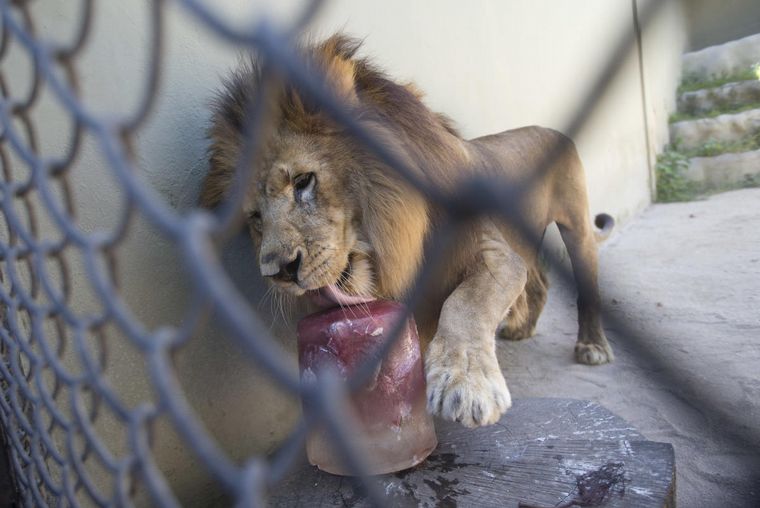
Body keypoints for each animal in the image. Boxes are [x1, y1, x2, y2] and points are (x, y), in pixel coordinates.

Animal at [199, 33, 616, 426]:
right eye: (255, 218)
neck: (401, 236)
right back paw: (521, 327)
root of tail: (547, 128)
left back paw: (592, 346)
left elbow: (464, 303)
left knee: (586, 287)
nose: (277, 272)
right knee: (540, 281)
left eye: (303, 181)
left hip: (577, 227)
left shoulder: (492, 254)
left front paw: (463, 384)